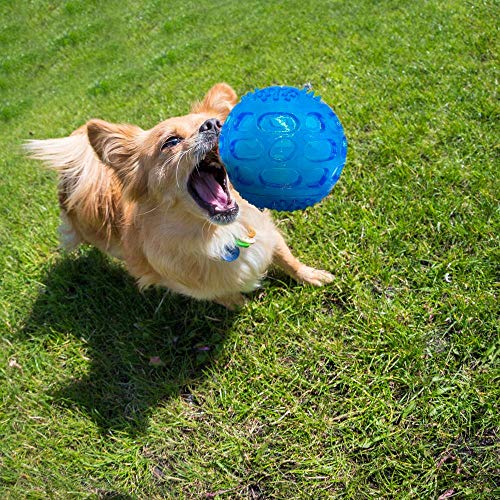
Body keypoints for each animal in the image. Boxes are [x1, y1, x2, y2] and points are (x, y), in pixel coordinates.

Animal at [25, 83, 334, 308]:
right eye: (171, 142)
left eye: (221, 123)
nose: (213, 125)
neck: (219, 234)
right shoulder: (189, 285)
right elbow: (225, 296)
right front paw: (244, 306)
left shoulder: (267, 232)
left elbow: (288, 258)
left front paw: (312, 275)